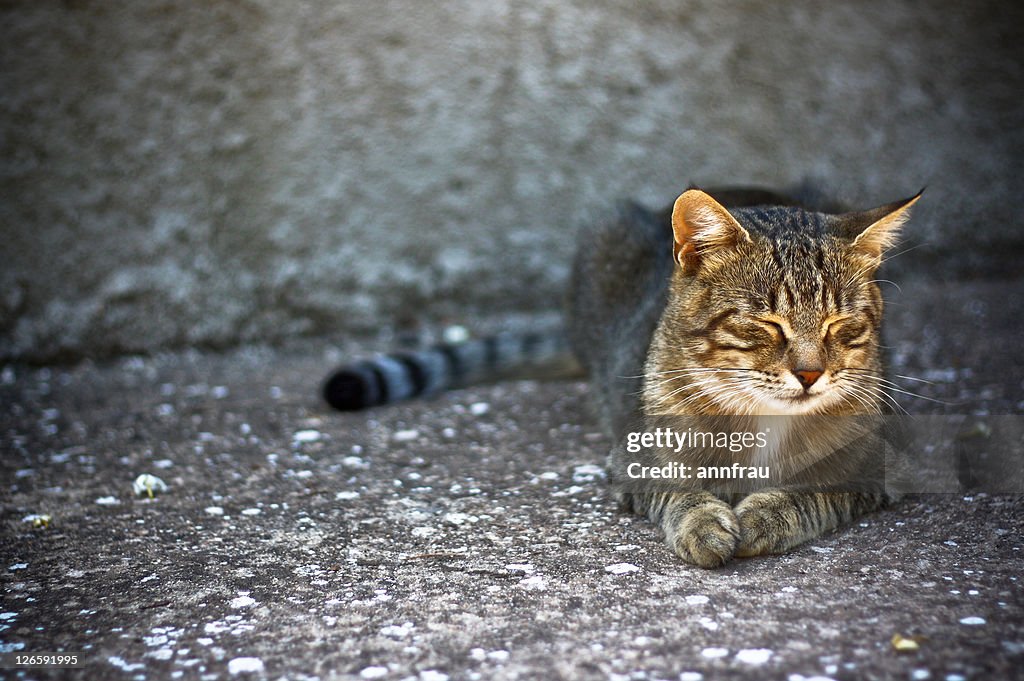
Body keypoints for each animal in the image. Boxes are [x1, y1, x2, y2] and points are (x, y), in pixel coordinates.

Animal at [321, 184, 921, 561]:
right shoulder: (635, 455)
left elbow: (814, 491)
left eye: (841, 325)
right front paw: (705, 523)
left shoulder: (880, 461)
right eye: (765, 324)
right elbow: (680, 490)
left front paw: (763, 515)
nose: (811, 375)